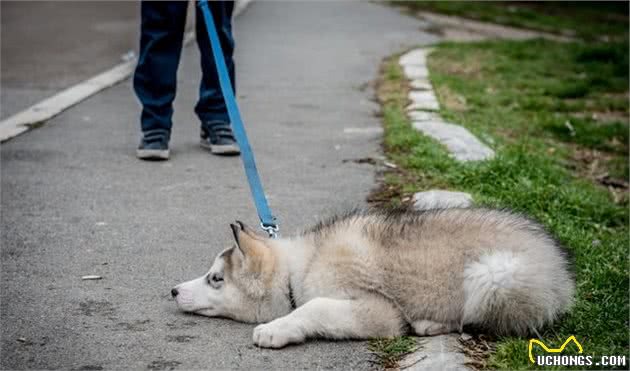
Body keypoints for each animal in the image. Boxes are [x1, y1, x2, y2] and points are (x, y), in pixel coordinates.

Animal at [170, 209, 576, 348]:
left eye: (216, 278)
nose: (173, 290)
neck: (301, 266)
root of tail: (561, 268)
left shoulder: (378, 310)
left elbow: (315, 307)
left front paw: (276, 329)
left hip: (493, 273)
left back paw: (430, 324)